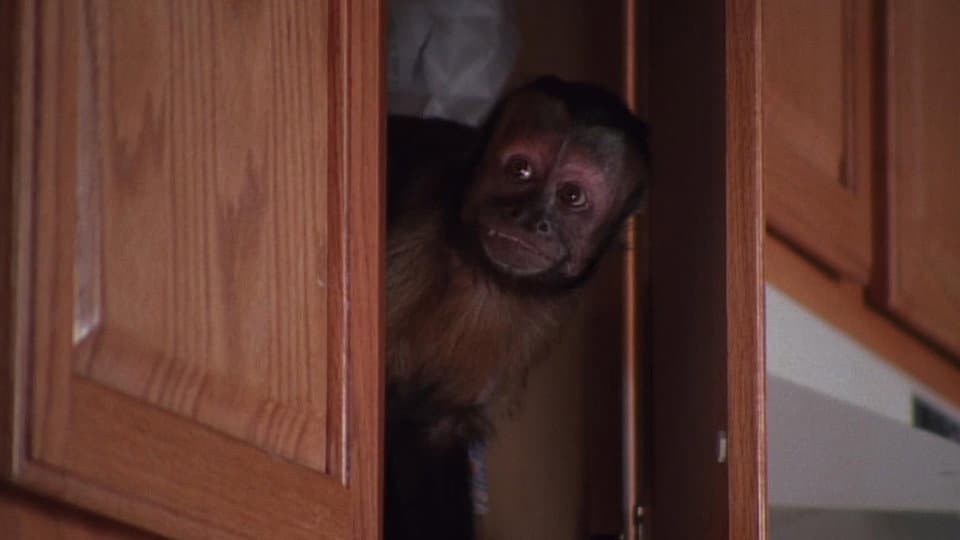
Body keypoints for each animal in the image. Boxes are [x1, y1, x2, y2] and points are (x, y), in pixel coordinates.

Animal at [384, 76, 649, 540]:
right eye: (520, 170)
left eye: (572, 196)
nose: (527, 217)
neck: (477, 270)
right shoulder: (411, 237)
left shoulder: (532, 322)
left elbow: (432, 428)